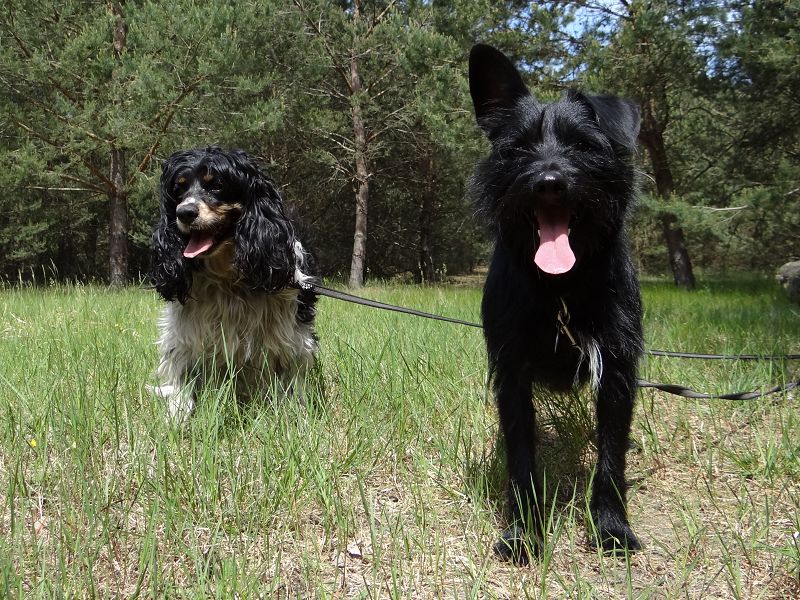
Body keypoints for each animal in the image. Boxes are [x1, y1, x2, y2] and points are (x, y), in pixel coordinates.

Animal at [149, 146, 319, 422]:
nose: (184, 212)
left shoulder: (292, 338)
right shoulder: (185, 335)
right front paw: (178, 416)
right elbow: (182, 377)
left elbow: (291, 382)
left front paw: (294, 417)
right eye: (178, 188)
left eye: (217, 184)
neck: (228, 277)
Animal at [468, 44, 644, 564]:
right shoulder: (512, 374)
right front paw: (524, 531)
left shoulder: (617, 372)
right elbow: (522, 458)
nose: (549, 181)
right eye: (518, 148)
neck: (560, 288)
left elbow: (610, 456)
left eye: (584, 145)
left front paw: (611, 527)